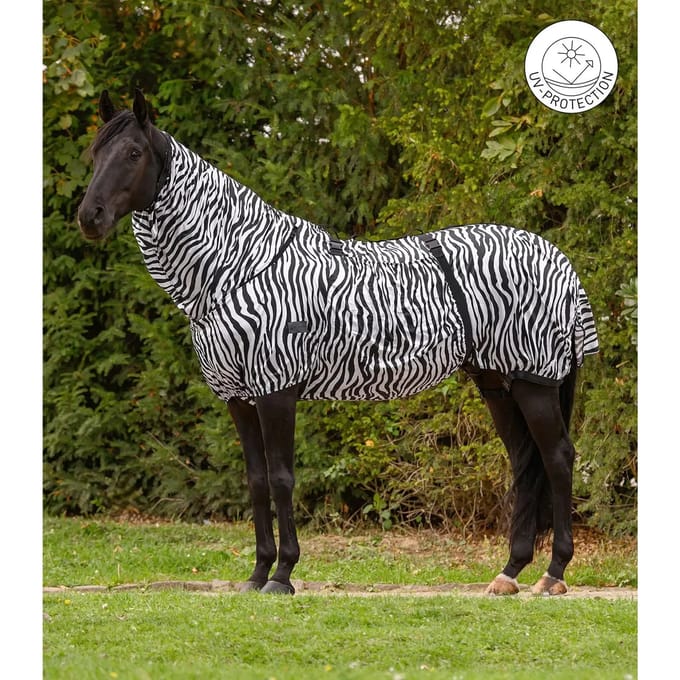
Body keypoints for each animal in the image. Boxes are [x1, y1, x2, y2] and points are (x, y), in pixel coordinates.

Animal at [78, 89, 598, 596]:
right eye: (95, 152)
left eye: (133, 153)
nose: (89, 218)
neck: (238, 266)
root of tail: (558, 259)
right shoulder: (238, 397)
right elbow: (256, 481)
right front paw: (257, 574)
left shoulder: (276, 390)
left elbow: (282, 478)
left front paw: (282, 575)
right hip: (496, 383)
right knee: (525, 463)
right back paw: (509, 573)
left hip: (533, 381)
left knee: (557, 458)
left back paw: (553, 574)